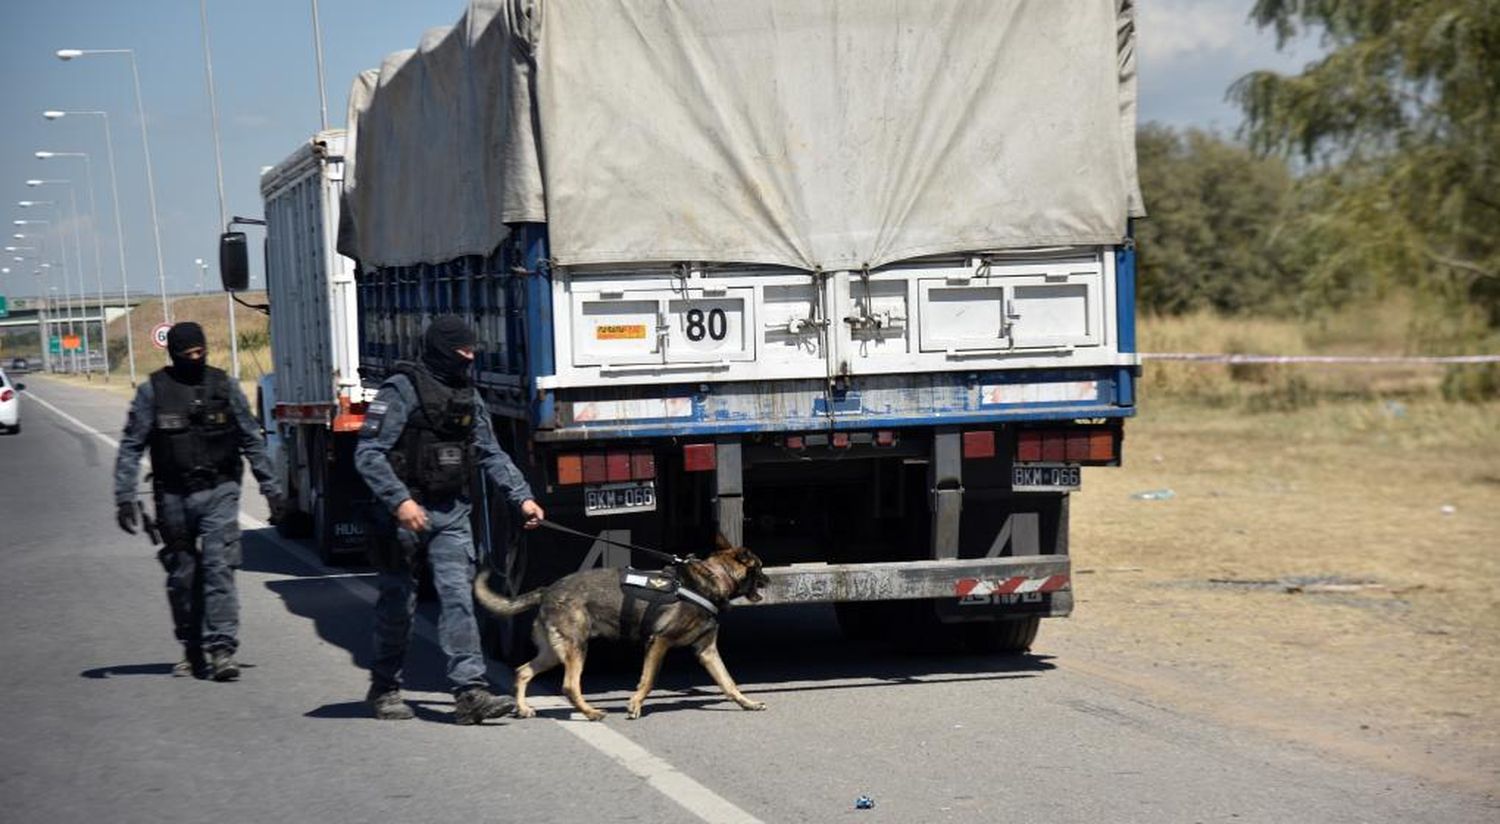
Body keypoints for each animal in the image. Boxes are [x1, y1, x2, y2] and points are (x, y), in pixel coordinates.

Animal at [474, 534, 768, 720]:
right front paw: (635, 704)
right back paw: (590, 713)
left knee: (523, 671)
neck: (714, 578)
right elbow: (648, 680)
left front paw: (748, 703)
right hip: (575, 649)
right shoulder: (659, 642)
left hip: (554, 652)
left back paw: (524, 708)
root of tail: (547, 591)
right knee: (569, 686)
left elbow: (729, 683)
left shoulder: (707, 652)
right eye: (760, 568)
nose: (767, 580)